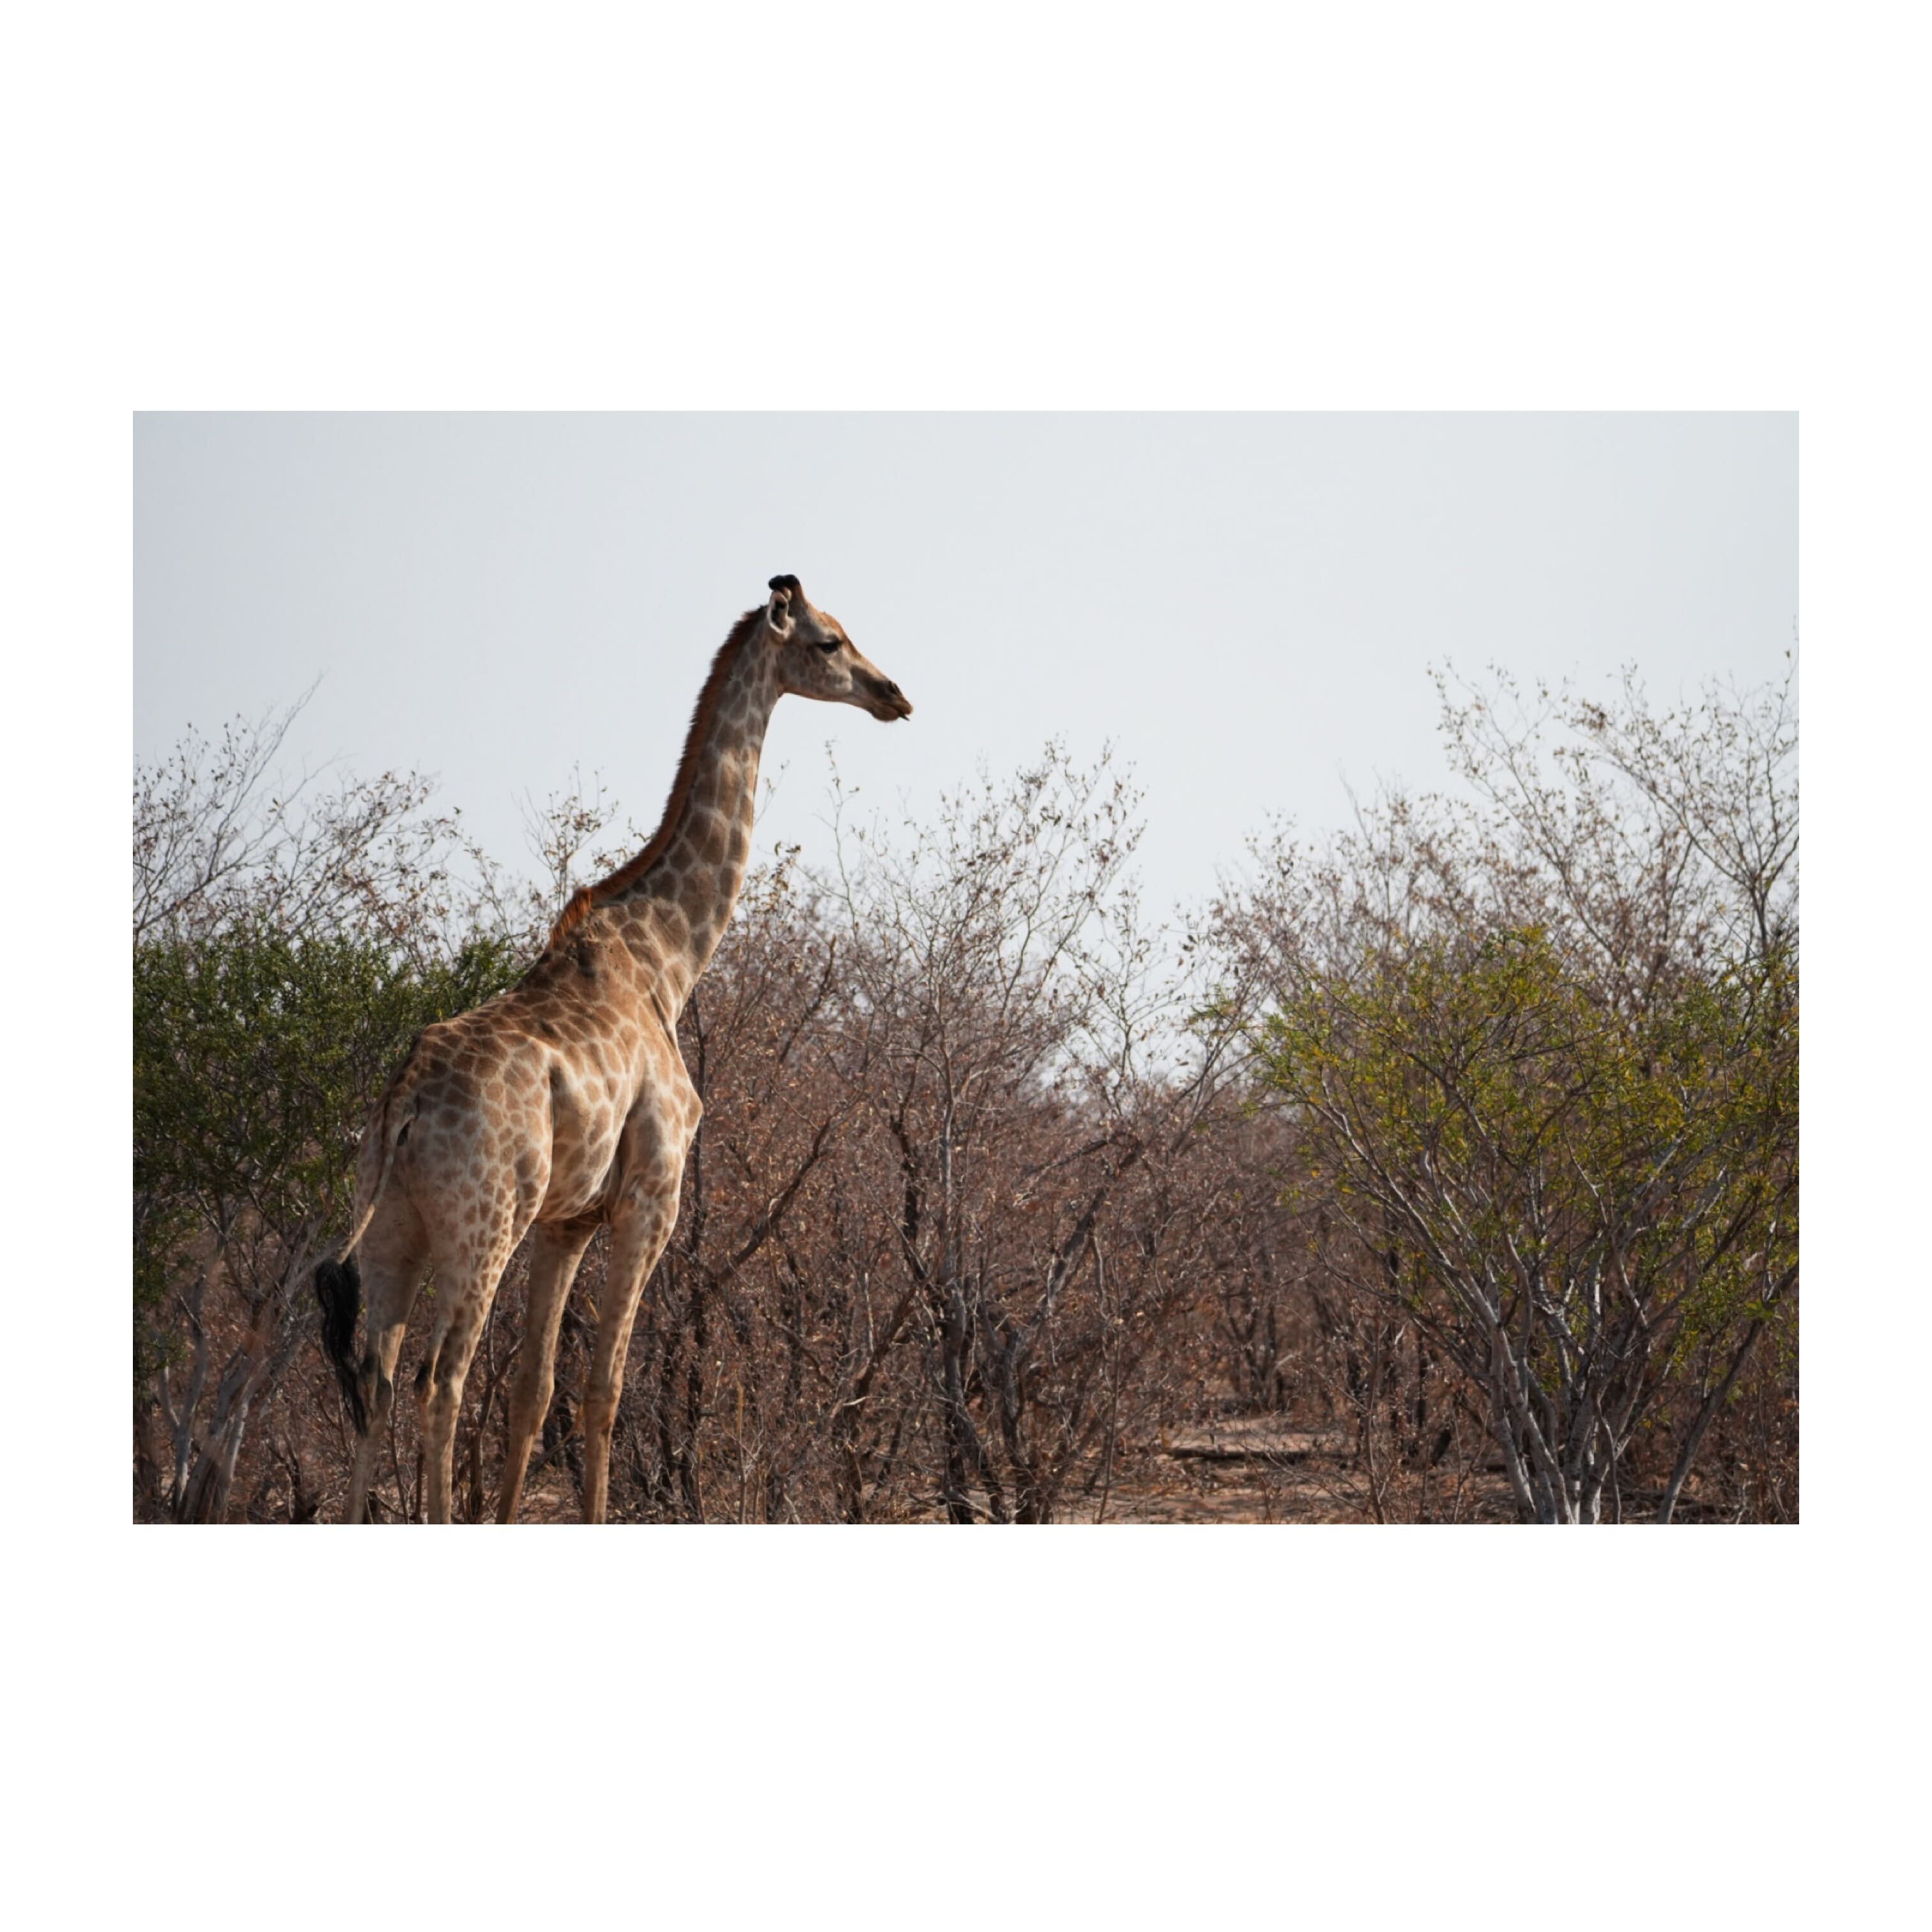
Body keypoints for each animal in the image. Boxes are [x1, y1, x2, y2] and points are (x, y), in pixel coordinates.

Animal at [314, 576, 912, 1522]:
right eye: (830, 641)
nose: (895, 695)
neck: (669, 958)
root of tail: (402, 1104)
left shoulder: (568, 1222)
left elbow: (533, 1395)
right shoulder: (651, 1197)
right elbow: (604, 1390)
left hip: (395, 1225)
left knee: (373, 1378)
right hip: (485, 1221)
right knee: (440, 1380)